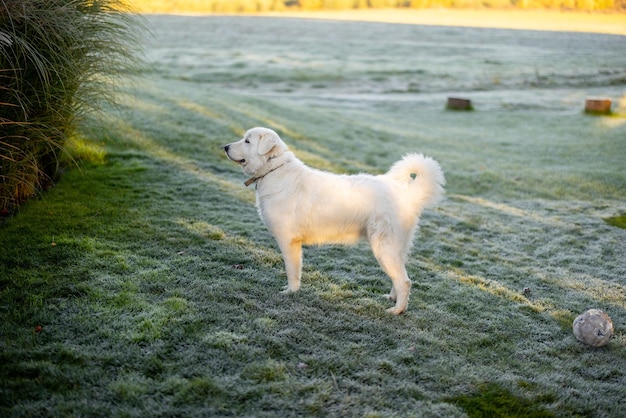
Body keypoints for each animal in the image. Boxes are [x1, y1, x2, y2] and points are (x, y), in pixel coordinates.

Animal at [224, 127, 444, 314]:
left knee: (405, 281)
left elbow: (292, 271)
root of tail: (406, 193)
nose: (225, 147)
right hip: (394, 249)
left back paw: (396, 311)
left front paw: (290, 293)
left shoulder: (288, 241)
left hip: (384, 248)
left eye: (247, 141)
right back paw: (391, 299)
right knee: (398, 278)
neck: (273, 169)